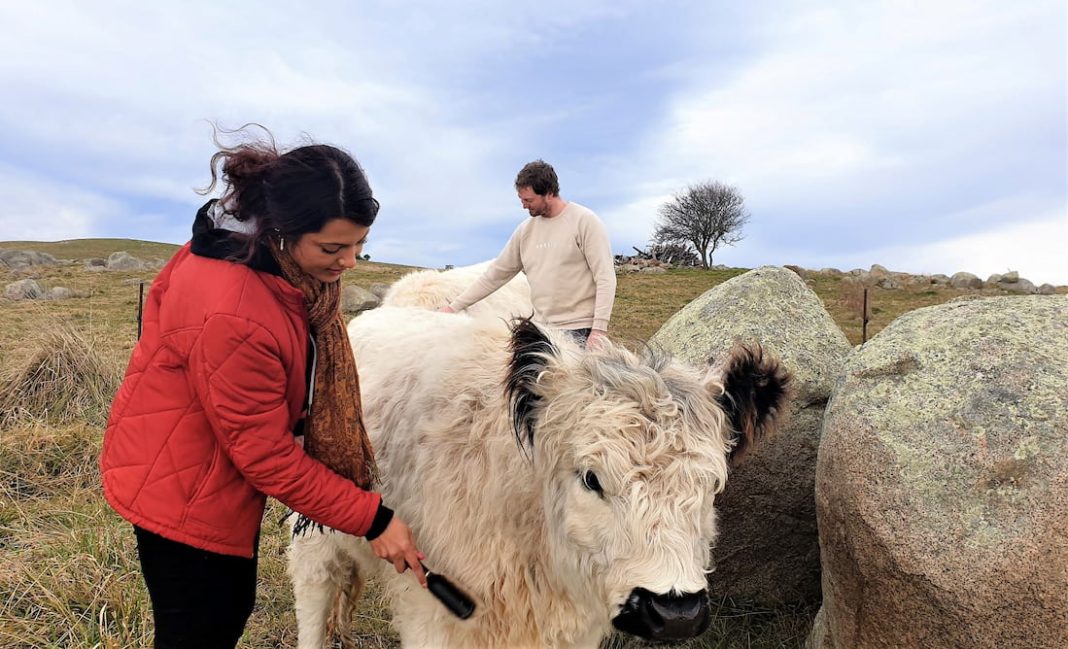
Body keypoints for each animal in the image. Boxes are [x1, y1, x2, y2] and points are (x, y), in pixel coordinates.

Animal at [288, 307, 790, 644]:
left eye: (712, 486)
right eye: (591, 478)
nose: (675, 612)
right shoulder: (430, 616)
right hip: (313, 539)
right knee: (314, 600)